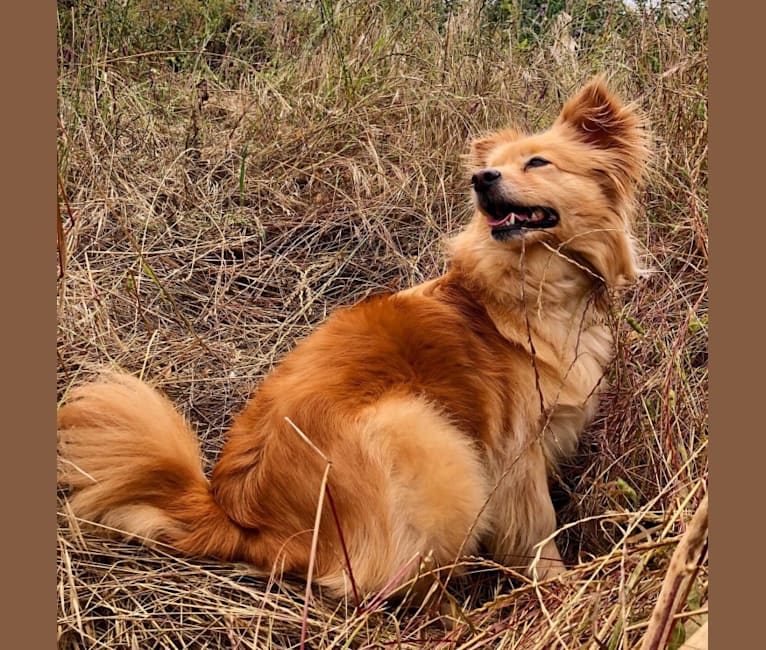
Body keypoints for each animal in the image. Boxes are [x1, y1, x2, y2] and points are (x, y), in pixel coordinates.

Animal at [57, 78, 652, 600]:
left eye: (538, 162)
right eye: (494, 167)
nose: (481, 178)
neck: (526, 286)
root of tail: (238, 519)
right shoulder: (517, 453)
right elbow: (538, 530)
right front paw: (559, 585)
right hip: (424, 436)